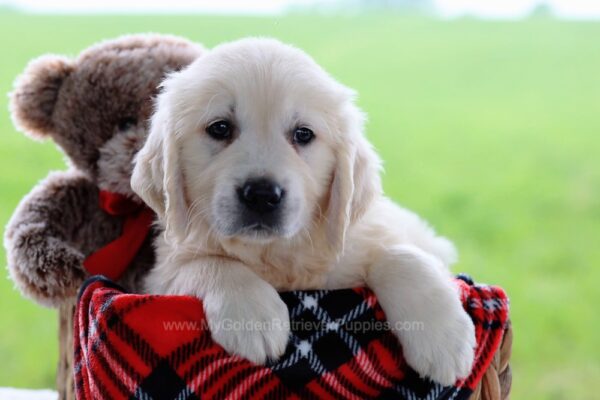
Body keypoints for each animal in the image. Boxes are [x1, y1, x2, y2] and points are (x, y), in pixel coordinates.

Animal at [131, 37, 474, 384]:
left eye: (303, 134)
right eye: (220, 128)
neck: (275, 254)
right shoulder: (162, 269)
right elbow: (208, 262)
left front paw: (444, 339)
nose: (261, 196)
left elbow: (403, 255)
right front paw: (252, 317)